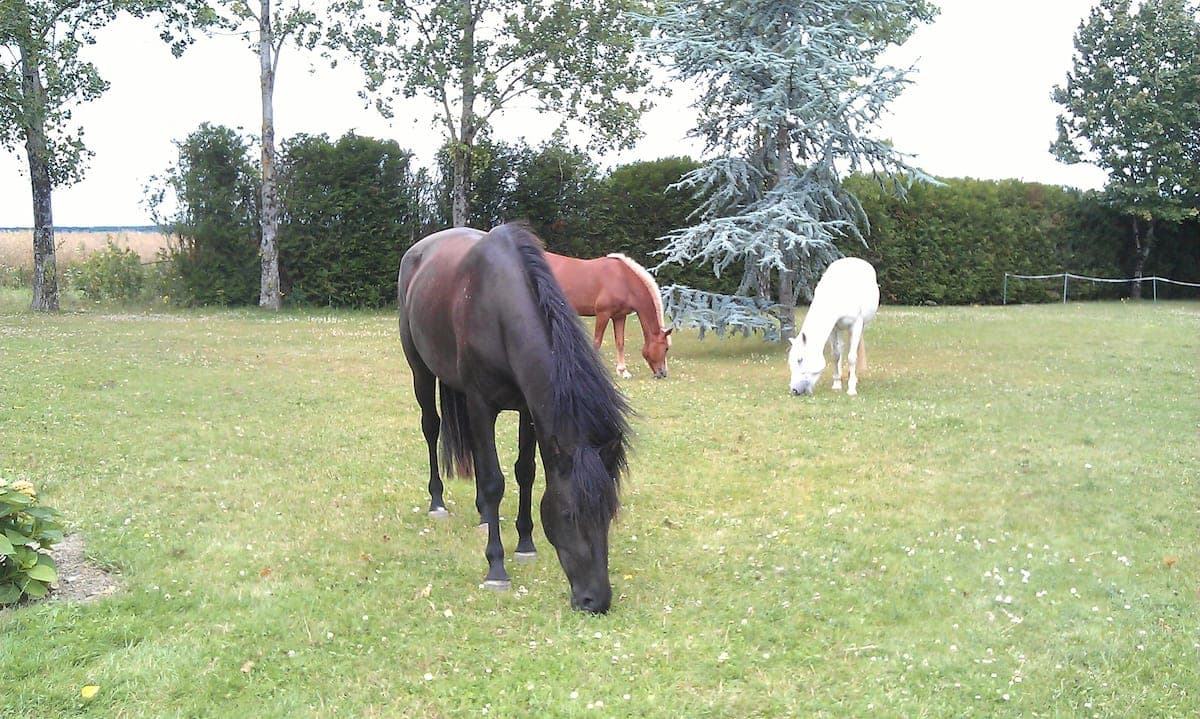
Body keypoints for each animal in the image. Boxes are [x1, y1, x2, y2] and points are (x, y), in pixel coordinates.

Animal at [397, 223, 632, 613]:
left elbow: (525, 472)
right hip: (421, 371)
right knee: (431, 428)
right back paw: (438, 503)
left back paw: (482, 517)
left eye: (609, 513)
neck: (498, 308)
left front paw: (525, 544)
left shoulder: (528, 409)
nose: (595, 600)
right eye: (569, 515)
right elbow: (495, 481)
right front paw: (496, 568)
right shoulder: (481, 403)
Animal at [544, 251, 672, 379]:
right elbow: (597, 342)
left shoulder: (619, 316)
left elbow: (620, 342)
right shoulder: (603, 314)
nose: (663, 373)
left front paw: (623, 371)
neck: (624, 280)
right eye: (666, 348)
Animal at [788, 257, 880, 396]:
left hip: (861, 325)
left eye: (800, 359)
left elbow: (852, 357)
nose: (795, 390)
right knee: (840, 348)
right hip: (840, 329)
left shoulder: (856, 324)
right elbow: (835, 355)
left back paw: (853, 377)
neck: (838, 295)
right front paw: (836, 384)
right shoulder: (833, 328)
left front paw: (851, 389)